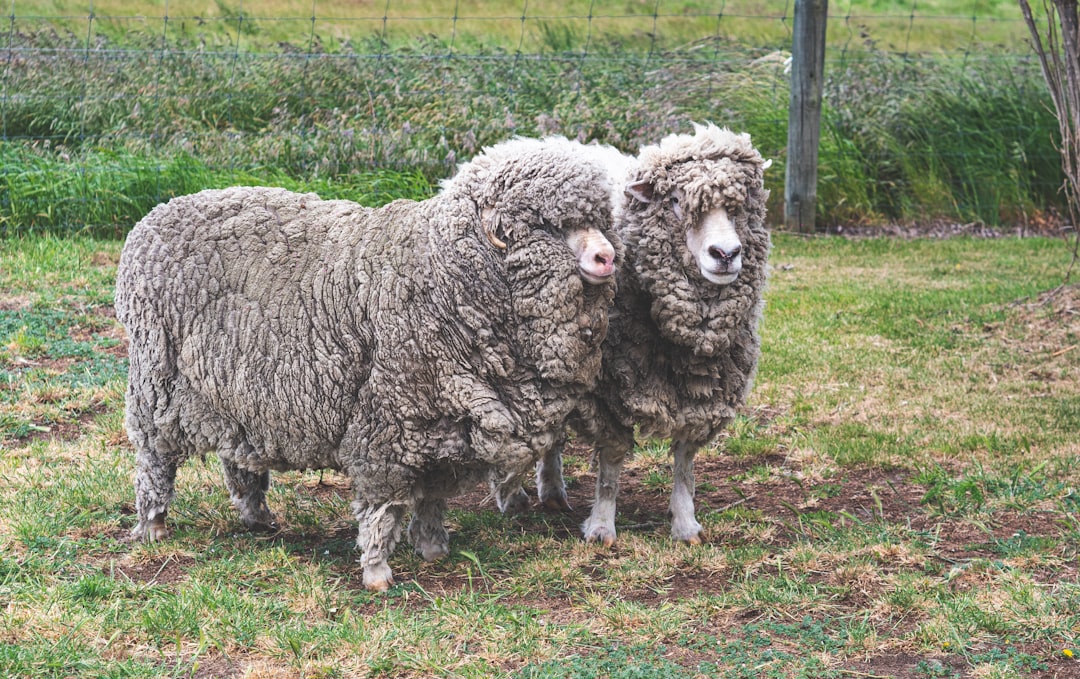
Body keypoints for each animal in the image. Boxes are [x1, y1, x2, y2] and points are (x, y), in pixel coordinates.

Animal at [114, 136, 622, 591]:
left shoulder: (444, 429)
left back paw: (257, 516)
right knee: (154, 461)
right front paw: (377, 571)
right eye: (551, 225)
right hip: (157, 388)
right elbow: (382, 507)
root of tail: (156, 216)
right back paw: (153, 525)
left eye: (600, 221)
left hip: (235, 395)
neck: (438, 273)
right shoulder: (386, 426)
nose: (607, 256)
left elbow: (432, 498)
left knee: (238, 460)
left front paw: (433, 547)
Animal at [528, 123, 771, 547]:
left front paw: (686, 525)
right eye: (674, 201)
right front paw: (602, 527)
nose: (725, 254)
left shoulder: (703, 393)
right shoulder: (607, 391)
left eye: (738, 206)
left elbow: (685, 464)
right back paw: (547, 488)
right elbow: (610, 465)